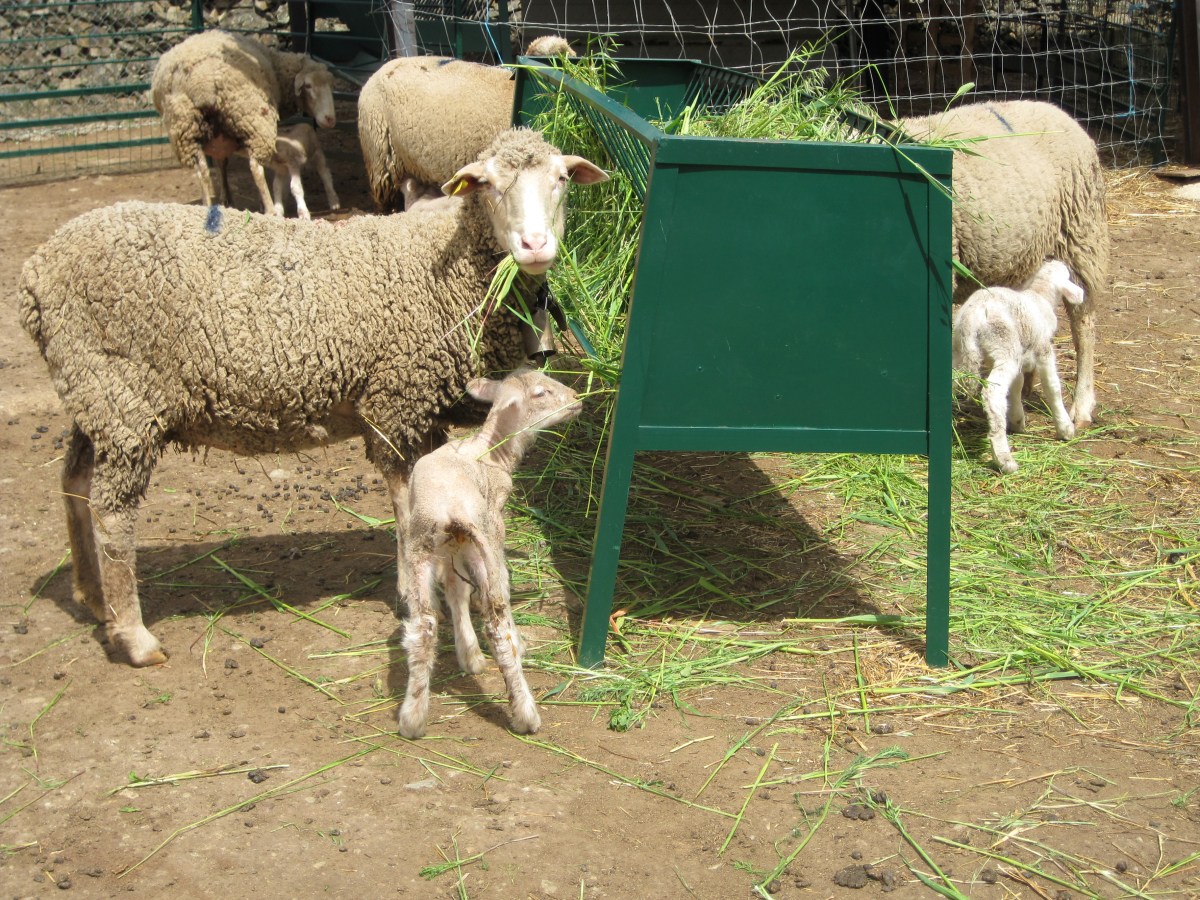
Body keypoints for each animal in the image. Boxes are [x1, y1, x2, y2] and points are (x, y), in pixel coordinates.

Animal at [18, 126, 608, 668]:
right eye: (486, 184)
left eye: (561, 179)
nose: (535, 246)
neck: (444, 267)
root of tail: (36, 273)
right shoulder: (395, 400)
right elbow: (405, 505)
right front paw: (411, 592)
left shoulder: (424, 409)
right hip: (123, 399)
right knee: (112, 515)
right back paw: (134, 637)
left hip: (94, 397)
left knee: (73, 484)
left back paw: (93, 596)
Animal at [150, 29, 337, 215]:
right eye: (308, 86)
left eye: (330, 85)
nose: (330, 119)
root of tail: (202, 83)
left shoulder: (220, 139)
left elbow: (221, 163)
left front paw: (226, 198)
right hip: (252, 118)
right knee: (256, 167)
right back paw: (269, 208)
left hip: (186, 129)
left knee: (202, 170)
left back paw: (207, 206)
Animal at [398, 367, 582, 738]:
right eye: (541, 392)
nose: (577, 399)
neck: (490, 449)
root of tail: (449, 507)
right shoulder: (494, 521)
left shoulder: (455, 546)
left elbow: (456, 591)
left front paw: (468, 654)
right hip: (482, 537)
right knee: (496, 620)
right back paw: (525, 712)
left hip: (422, 546)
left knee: (422, 626)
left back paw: (412, 718)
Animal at [953, 260, 1085, 474]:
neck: (1040, 295)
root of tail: (973, 316)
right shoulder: (1043, 349)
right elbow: (1052, 387)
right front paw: (1065, 428)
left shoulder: (1018, 357)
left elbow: (1017, 385)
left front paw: (1017, 420)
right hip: (1004, 345)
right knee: (993, 393)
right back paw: (1004, 459)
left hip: (961, 352)